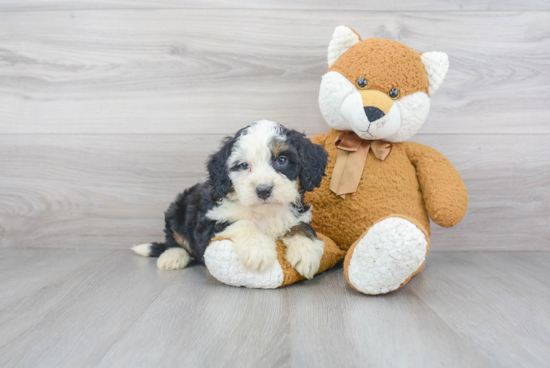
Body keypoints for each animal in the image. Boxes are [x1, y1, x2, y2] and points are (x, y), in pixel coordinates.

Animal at [133, 121, 332, 278]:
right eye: (243, 165)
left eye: (282, 160)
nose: (263, 190)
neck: (263, 211)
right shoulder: (211, 222)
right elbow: (242, 222)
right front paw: (258, 250)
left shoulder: (298, 214)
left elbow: (300, 226)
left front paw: (306, 252)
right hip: (177, 209)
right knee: (173, 238)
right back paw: (173, 256)